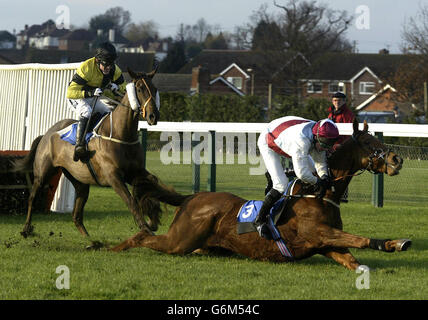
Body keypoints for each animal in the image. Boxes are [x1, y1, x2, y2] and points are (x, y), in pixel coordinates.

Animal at [13, 67, 186, 238]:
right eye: (139, 88)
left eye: (154, 88)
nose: (153, 116)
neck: (121, 134)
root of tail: (47, 134)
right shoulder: (113, 177)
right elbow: (131, 201)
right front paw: (146, 228)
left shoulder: (135, 172)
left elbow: (153, 184)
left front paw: (153, 216)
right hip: (43, 172)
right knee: (32, 197)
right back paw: (26, 229)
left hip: (79, 179)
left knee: (76, 214)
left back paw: (90, 239)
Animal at [112, 119, 412, 270]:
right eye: (369, 143)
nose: (397, 159)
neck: (318, 196)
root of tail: (191, 198)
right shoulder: (319, 233)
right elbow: (359, 239)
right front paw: (396, 243)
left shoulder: (326, 245)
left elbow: (356, 261)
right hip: (179, 241)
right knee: (143, 237)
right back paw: (110, 247)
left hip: (208, 245)